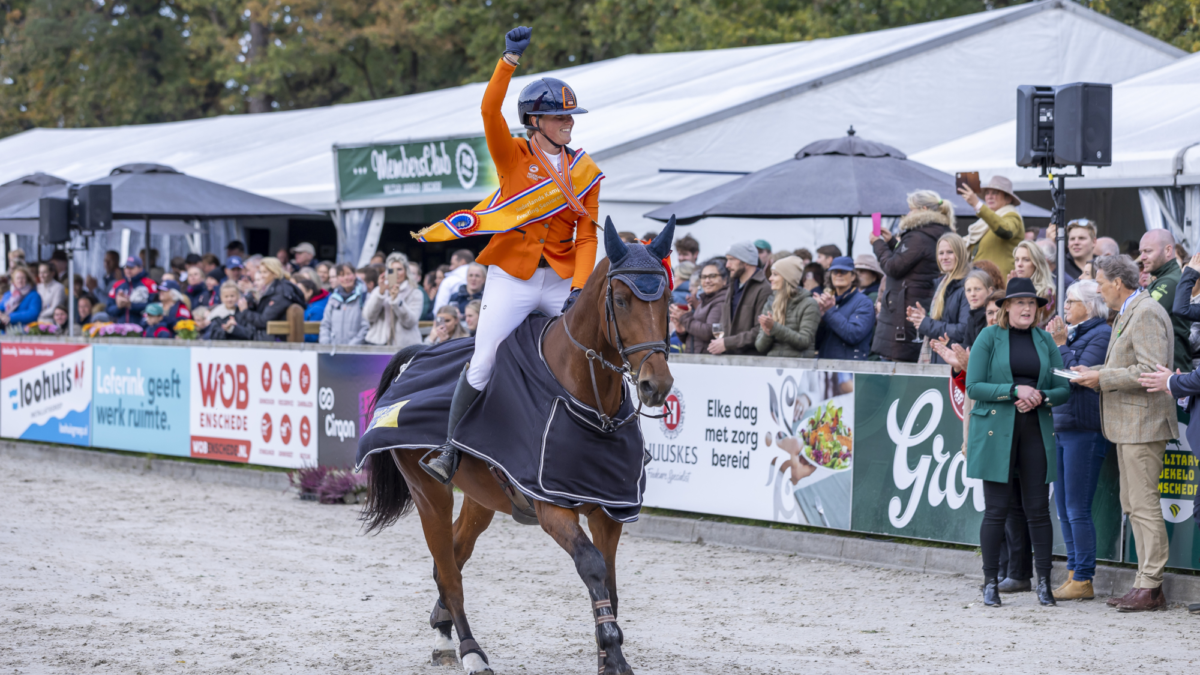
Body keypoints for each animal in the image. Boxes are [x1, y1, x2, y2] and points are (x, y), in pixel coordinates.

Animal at [355, 218, 676, 672]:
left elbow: (610, 582)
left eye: (667, 299)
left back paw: (442, 629)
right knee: (449, 571)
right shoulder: (552, 507)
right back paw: (471, 650)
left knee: (453, 555)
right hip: (429, 492)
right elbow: (593, 566)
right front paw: (612, 654)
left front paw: (607, 653)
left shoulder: (609, 510)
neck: (588, 399)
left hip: (481, 498)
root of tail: (418, 357)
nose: (655, 384)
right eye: (621, 299)